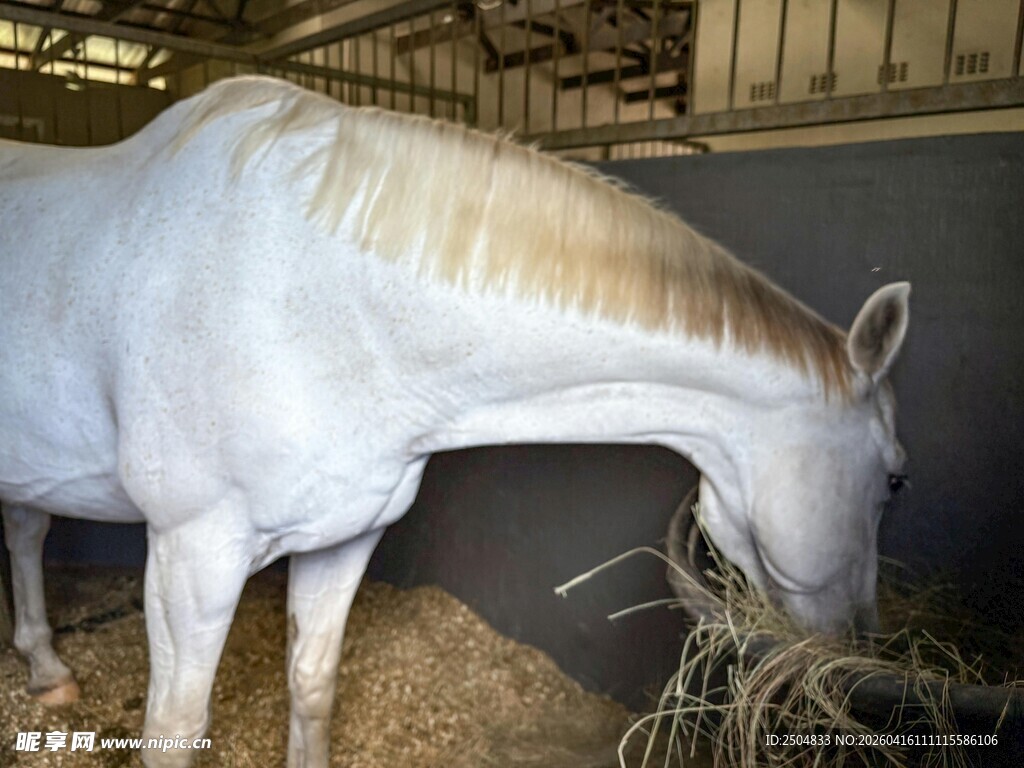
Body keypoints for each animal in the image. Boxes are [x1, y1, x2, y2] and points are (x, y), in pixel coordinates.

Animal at [0, 76, 909, 768]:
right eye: (896, 479)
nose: (865, 652)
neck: (313, 300)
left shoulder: (343, 538)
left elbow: (312, 687)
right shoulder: (192, 558)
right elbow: (175, 732)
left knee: (24, 532)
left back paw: (46, 667)